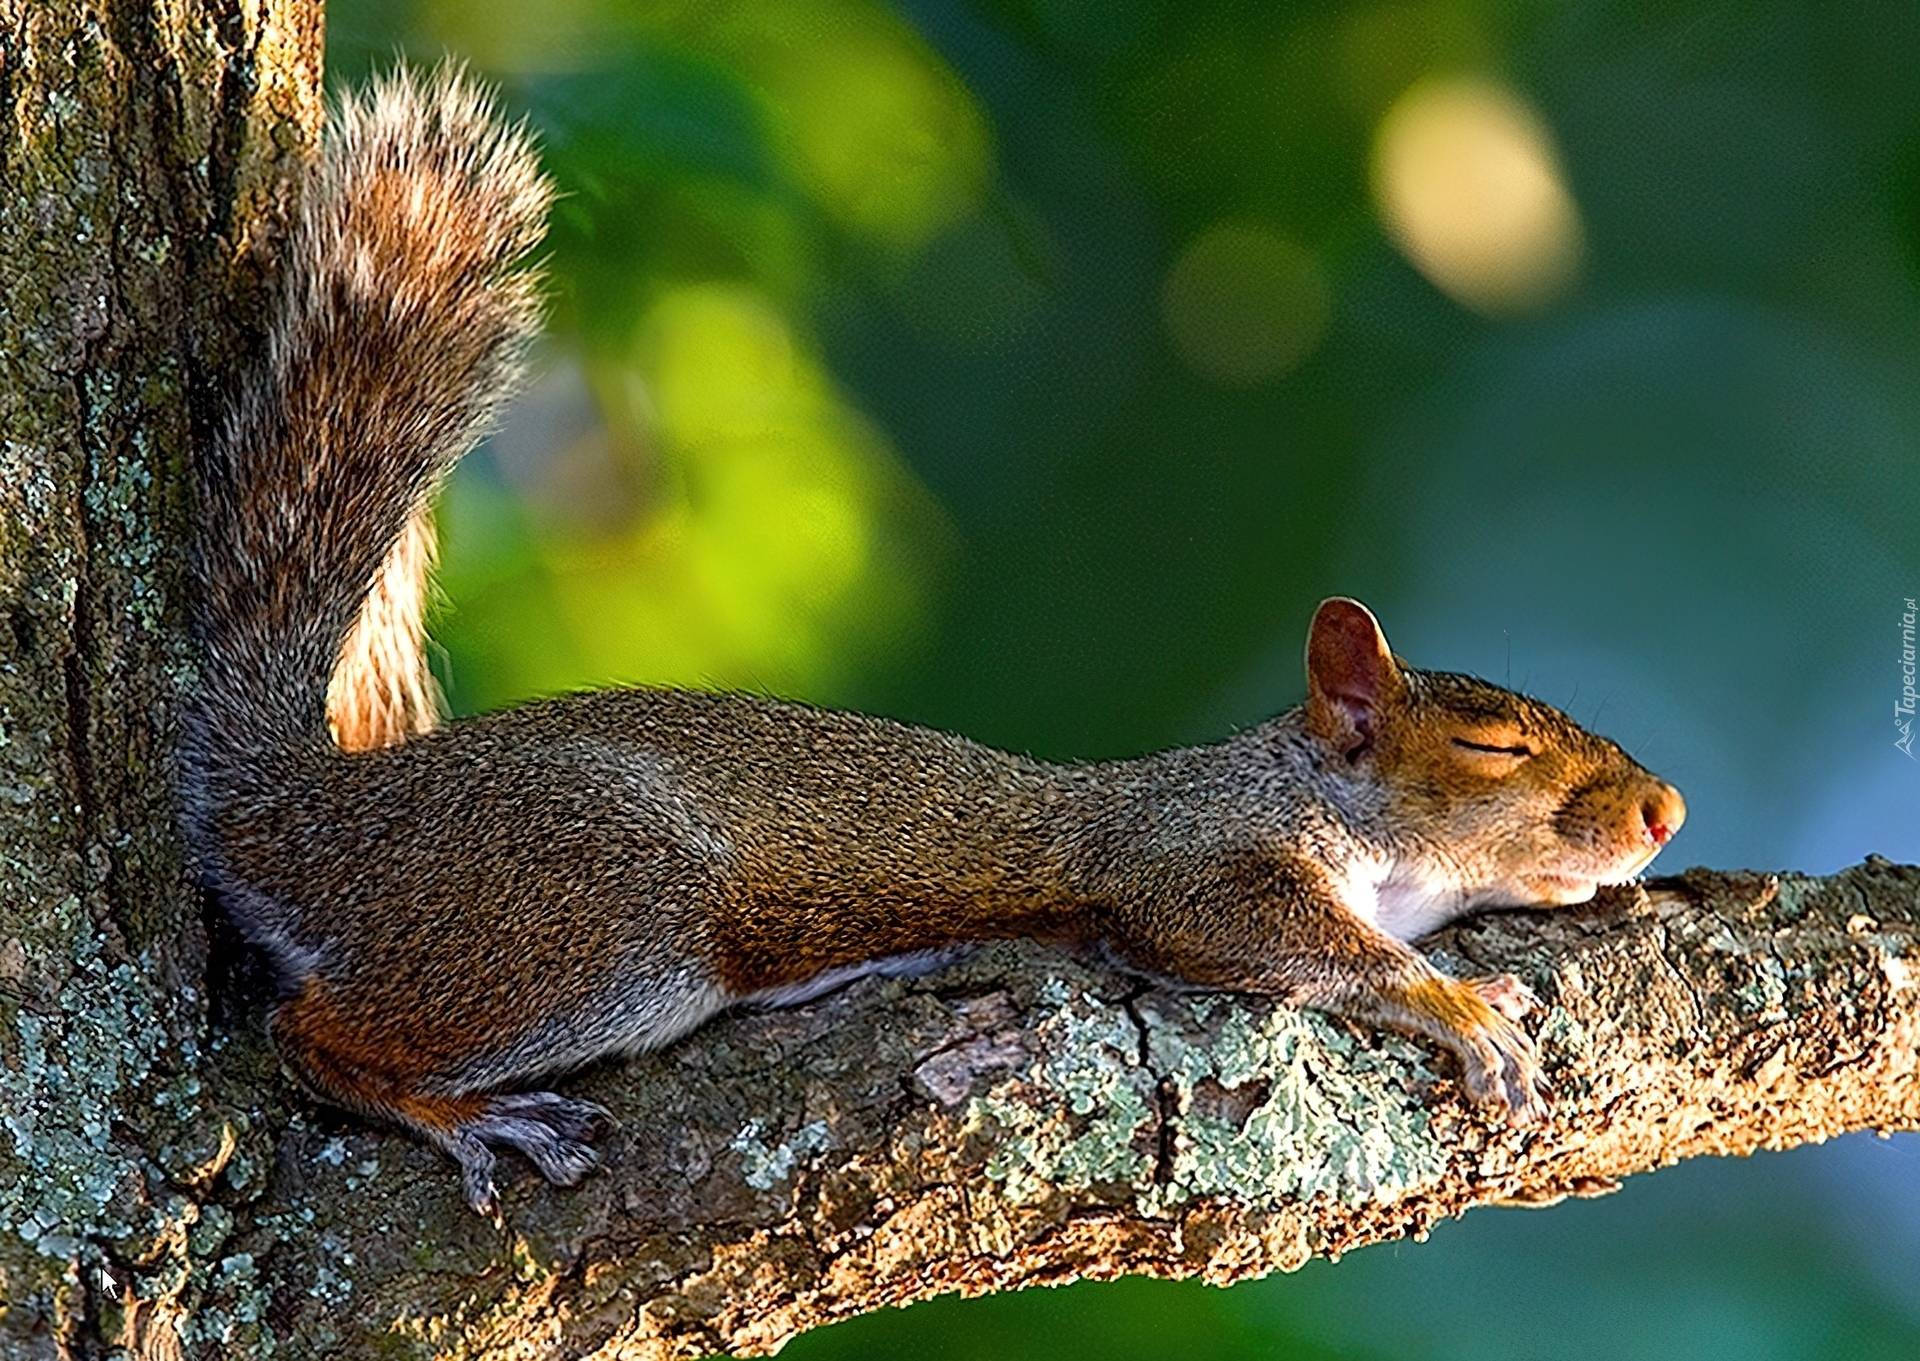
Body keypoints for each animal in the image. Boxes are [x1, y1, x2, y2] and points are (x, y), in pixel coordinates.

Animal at [176, 69, 1681, 1213]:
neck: (1311, 793)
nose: (1665, 810)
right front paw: (1457, 1005)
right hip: (590, 914)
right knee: (313, 1034)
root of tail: (307, 813)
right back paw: (460, 1112)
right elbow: (1265, 930)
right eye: (1492, 742)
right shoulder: (1187, 855)